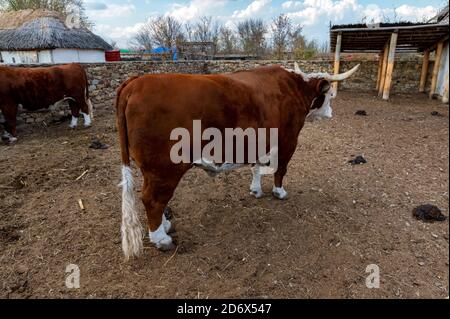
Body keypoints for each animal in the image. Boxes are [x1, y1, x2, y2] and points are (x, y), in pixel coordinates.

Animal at [115, 63, 358, 260]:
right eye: (331, 95)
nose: (331, 113)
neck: (294, 88)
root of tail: (136, 82)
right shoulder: (289, 140)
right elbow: (280, 169)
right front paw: (279, 192)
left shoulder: (260, 139)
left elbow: (257, 166)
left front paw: (256, 190)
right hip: (164, 168)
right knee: (152, 199)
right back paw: (161, 238)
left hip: (154, 170)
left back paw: (165, 226)